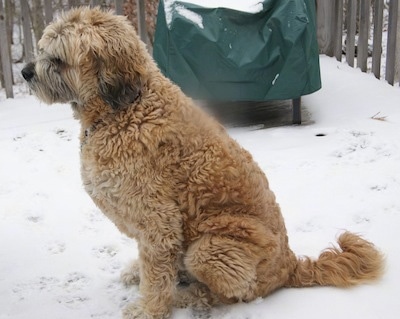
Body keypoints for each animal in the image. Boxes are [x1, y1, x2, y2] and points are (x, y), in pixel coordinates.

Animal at [22, 7, 384, 319]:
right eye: (43, 49)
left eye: (57, 59)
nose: (25, 72)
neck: (123, 110)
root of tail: (291, 265)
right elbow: (151, 264)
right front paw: (140, 276)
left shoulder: (158, 220)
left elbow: (157, 277)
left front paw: (149, 309)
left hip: (211, 250)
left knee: (230, 294)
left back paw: (188, 296)